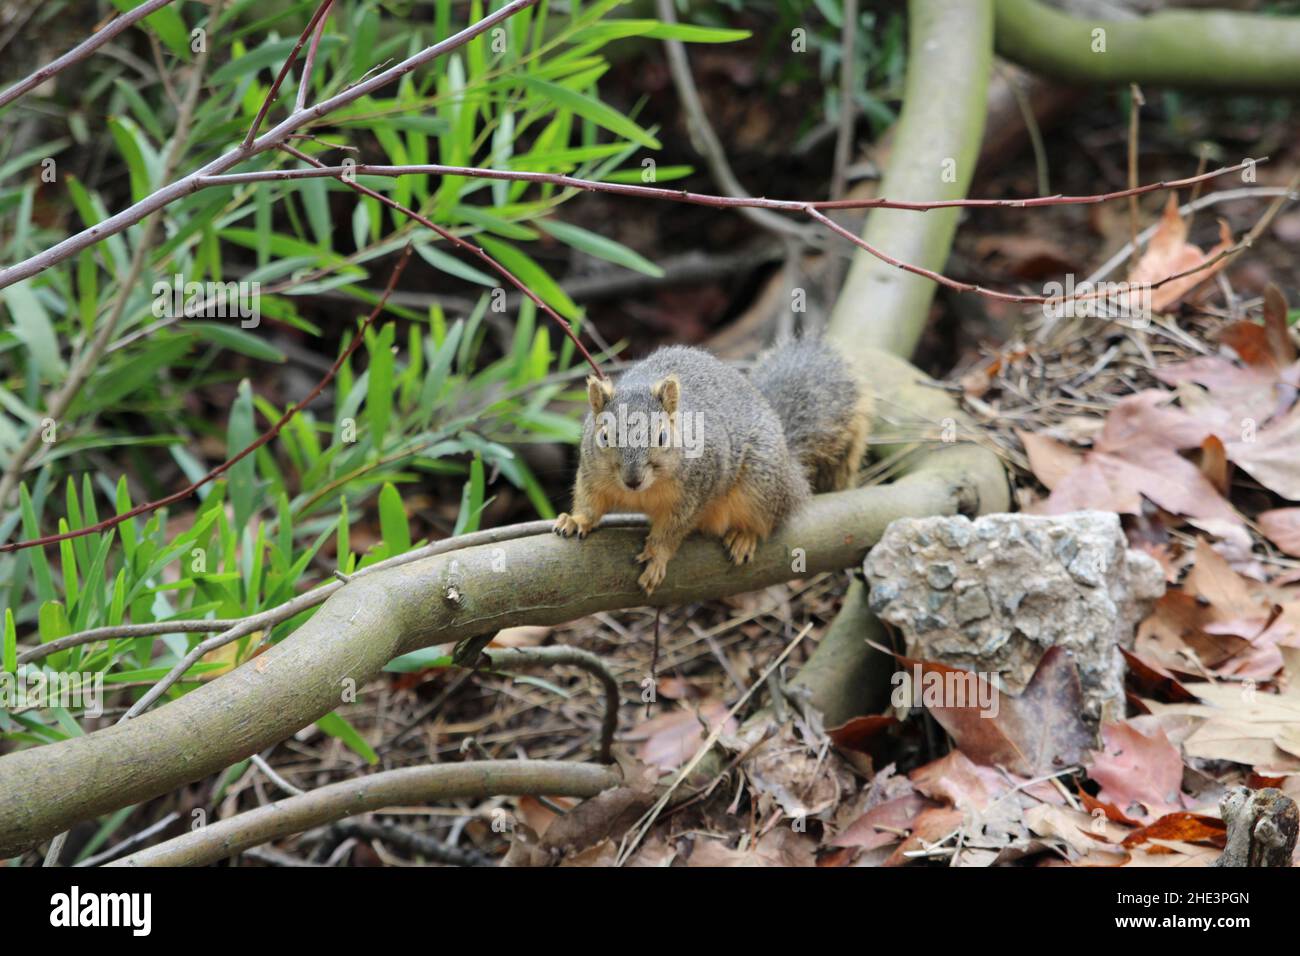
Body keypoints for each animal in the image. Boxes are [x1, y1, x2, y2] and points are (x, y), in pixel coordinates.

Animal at [551, 335, 873, 590]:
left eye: (662, 436)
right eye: (604, 436)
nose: (632, 480)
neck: (644, 492)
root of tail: (789, 463)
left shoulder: (696, 492)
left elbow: (673, 530)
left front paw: (657, 555)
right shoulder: (592, 476)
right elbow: (590, 503)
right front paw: (575, 520)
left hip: (760, 483)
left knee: (770, 519)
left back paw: (744, 535)